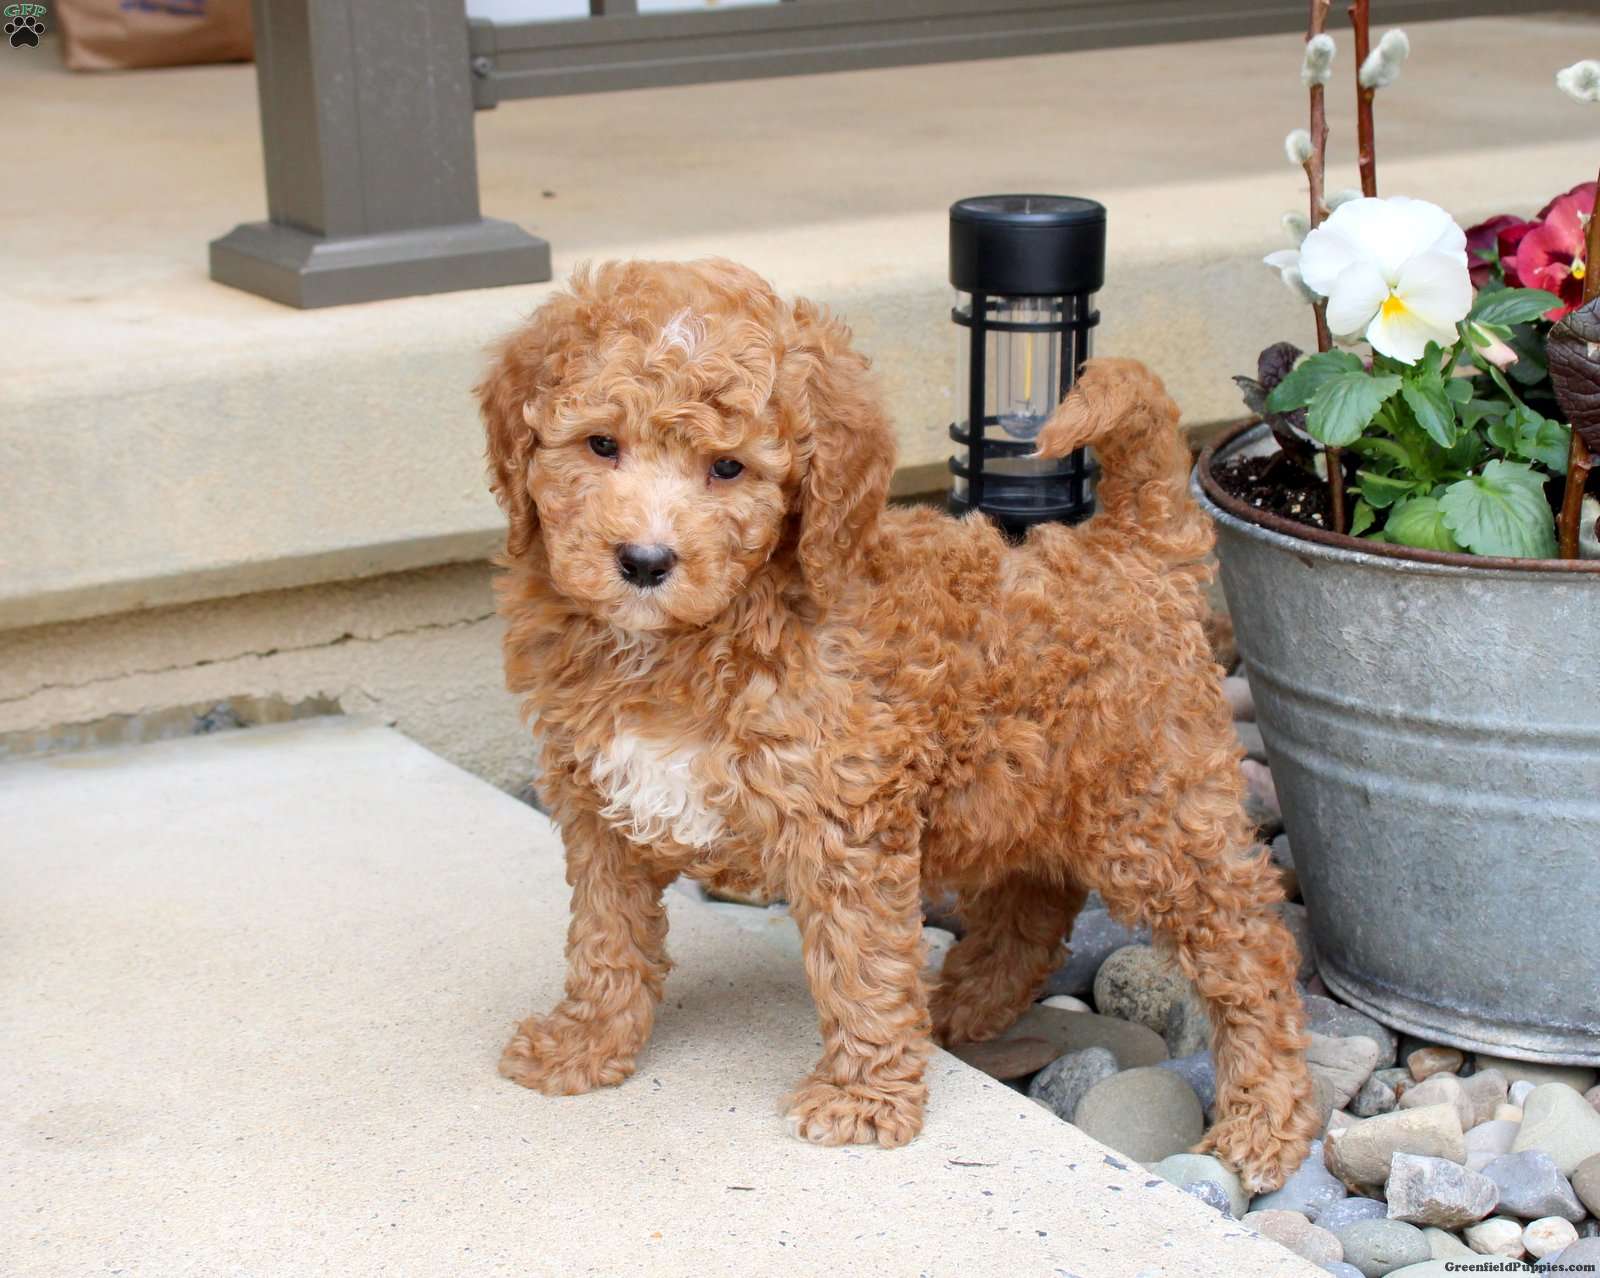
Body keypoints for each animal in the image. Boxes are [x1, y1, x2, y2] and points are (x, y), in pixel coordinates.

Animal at [478, 258, 1318, 1191]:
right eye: (599, 445)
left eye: (728, 468)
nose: (645, 562)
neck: (677, 647)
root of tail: (1132, 544)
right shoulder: (599, 806)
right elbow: (605, 939)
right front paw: (586, 1044)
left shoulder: (841, 820)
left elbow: (860, 962)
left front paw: (863, 1099)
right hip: (1020, 786)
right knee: (1035, 906)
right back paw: (959, 1004)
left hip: (1156, 814)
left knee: (1251, 953)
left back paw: (1263, 1121)